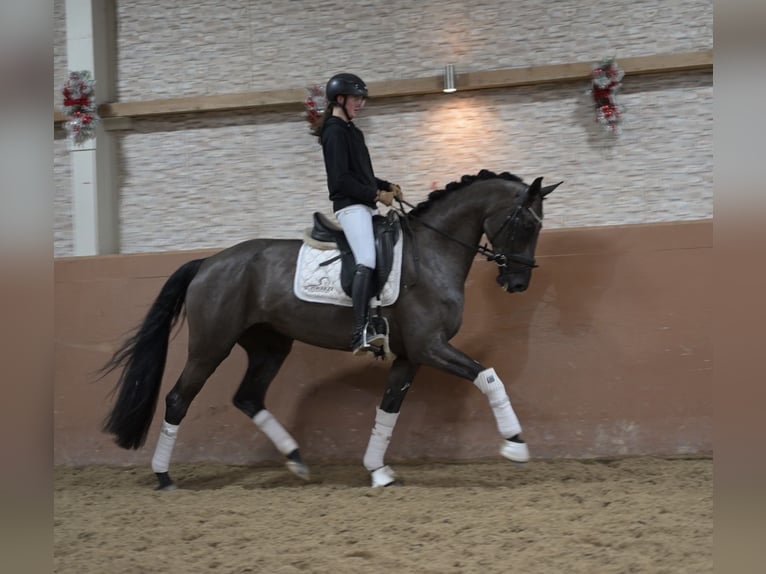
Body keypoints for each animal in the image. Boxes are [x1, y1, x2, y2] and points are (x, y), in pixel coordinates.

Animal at [102, 169, 560, 489]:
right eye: (526, 224)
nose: (518, 283)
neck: (432, 254)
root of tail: (208, 263)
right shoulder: (431, 347)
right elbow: (488, 375)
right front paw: (515, 444)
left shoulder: (412, 355)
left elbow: (388, 409)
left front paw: (377, 470)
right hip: (211, 345)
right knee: (179, 399)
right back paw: (164, 476)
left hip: (270, 346)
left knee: (248, 397)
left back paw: (296, 459)